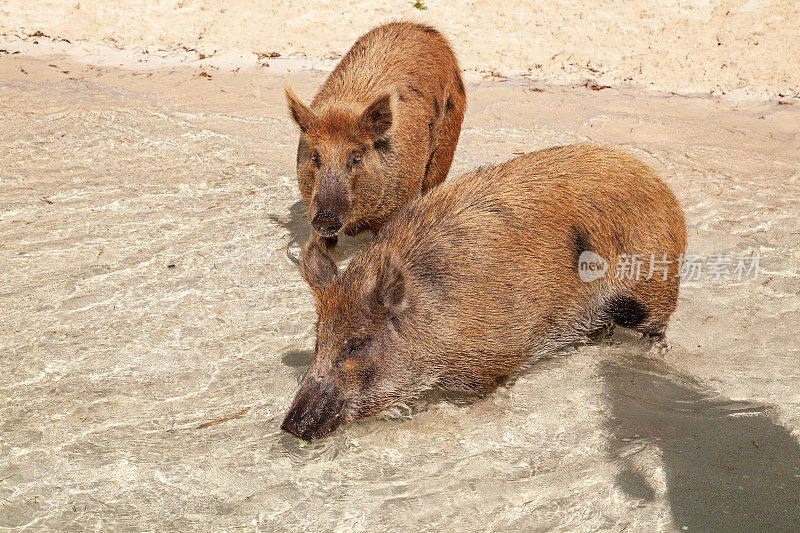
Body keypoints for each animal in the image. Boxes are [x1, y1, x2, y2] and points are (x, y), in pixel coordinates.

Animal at [282, 143, 688, 438]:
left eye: (356, 345)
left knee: (657, 328)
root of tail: (662, 187)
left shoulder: (496, 361)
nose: (290, 426)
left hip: (652, 288)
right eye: (319, 339)